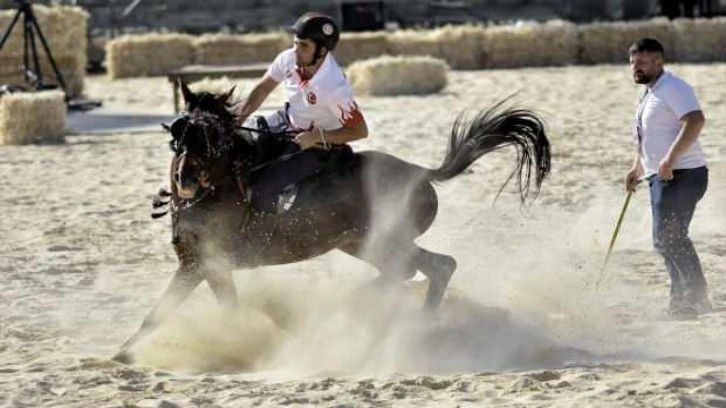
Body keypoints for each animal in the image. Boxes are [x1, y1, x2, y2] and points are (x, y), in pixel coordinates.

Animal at [114, 83, 556, 364]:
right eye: (181, 131)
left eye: (216, 136)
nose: (185, 178)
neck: (222, 188)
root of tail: (422, 173)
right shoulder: (201, 265)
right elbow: (186, 311)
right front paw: (123, 353)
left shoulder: (204, 264)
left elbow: (170, 312)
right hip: (362, 243)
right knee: (431, 267)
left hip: (380, 241)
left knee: (419, 269)